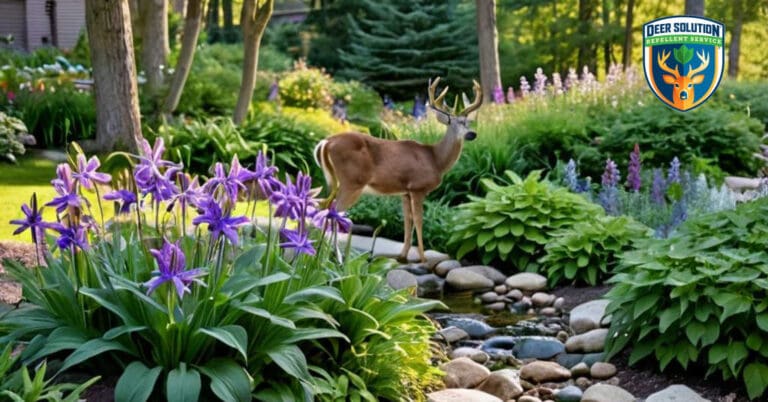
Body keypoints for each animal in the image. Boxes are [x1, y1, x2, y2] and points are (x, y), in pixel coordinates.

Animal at [313, 77, 482, 263]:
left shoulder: (405, 192)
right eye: (456, 123)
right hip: (352, 182)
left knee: (322, 204)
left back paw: (317, 253)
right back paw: (335, 256)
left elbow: (407, 221)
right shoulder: (417, 188)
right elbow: (418, 220)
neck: (435, 159)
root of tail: (326, 142)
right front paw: (423, 258)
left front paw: (403, 256)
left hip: (333, 181)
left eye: (468, 122)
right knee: (334, 211)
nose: (472, 134)